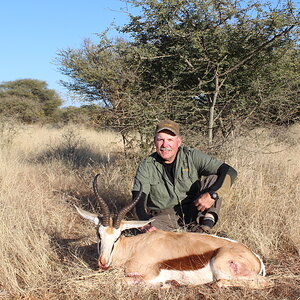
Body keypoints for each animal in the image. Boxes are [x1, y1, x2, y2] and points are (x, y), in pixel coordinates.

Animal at [75, 173, 272, 288]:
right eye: (98, 234)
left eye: (117, 237)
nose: (103, 262)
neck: (133, 249)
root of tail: (256, 257)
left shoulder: (149, 276)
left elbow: (121, 281)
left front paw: (168, 284)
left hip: (221, 265)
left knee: (251, 282)